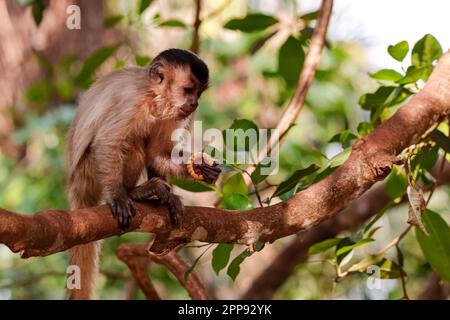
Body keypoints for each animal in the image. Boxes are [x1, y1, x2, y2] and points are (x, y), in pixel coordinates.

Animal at [66, 48, 220, 298]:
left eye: (199, 93)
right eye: (188, 90)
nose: (194, 103)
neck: (153, 98)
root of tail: (75, 187)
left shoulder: (172, 113)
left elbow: (157, 153)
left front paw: (199, 168)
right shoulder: (132, 102)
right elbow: (107, 142)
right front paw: (118, 196)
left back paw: (162, 196)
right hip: (87, 173)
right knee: (131, 143)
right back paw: (134, 192)